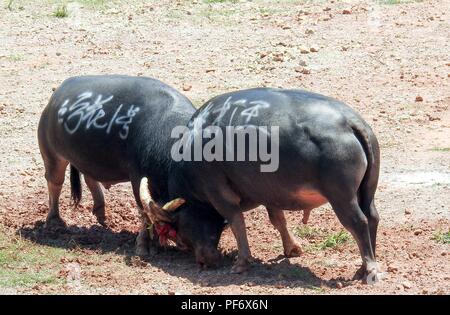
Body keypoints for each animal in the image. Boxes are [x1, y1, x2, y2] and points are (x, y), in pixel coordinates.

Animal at [37, 75, 224, 260]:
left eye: (219, 216)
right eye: (193, 209)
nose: (210, 254)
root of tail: (55, 98)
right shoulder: (137, 178)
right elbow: (144, 213)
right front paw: (145, 247)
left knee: (89, 177)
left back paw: (102, 215)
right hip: (52, 156)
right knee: (55, 182)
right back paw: (55, 222)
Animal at [142, 87, 382, 282]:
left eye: (179, 234)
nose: (204, 262)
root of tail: (350, 121)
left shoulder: (218, 192)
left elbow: (237, 223)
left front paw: (241, 262)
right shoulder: (269, 193)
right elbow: (278, 220)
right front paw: (292, 248)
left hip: (342, 197)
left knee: (358, 222)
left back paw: (369, 268)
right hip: (366, 191)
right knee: (372, 217)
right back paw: (364, 267)